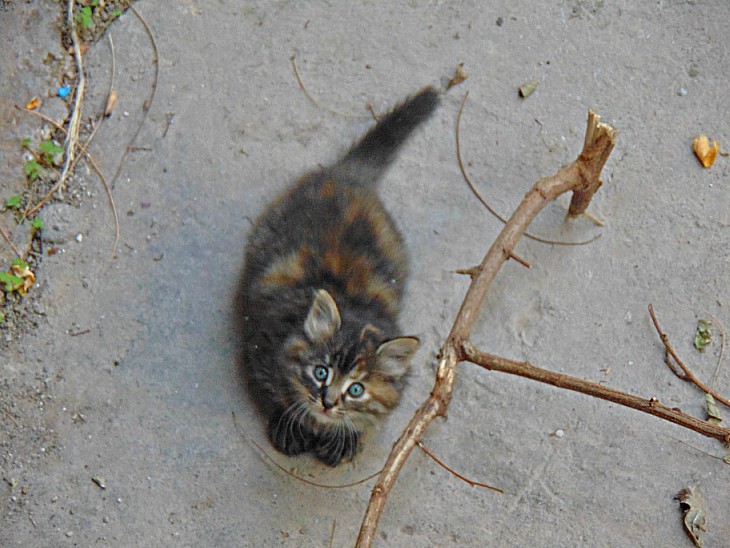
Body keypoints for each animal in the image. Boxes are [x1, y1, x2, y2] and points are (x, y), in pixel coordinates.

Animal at [240, 88, 438, 464]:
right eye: (321, 372)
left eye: (356, 389)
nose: (328, 402)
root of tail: (349, 176)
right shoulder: (262, 339)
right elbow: (275, 390)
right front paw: (288, 423)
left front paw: (343, 438)